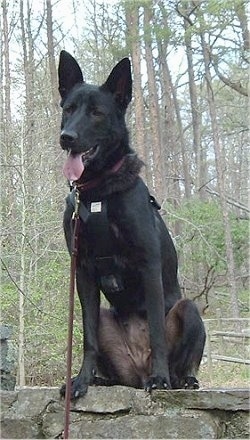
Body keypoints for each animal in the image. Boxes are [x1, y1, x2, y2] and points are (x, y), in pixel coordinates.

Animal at [58, 51, 205, 398]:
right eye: (68, 109)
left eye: (97, 113)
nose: (66, 138)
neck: (99, 191)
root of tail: (137, 373)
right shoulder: (82, 270)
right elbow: (87, 337)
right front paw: (81, 380)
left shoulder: (147, 264)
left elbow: (156, 330)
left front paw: (160, 378)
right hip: (106, 319)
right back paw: (103, 379)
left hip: (189, 309)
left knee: (186, 359)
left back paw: (179, 379)